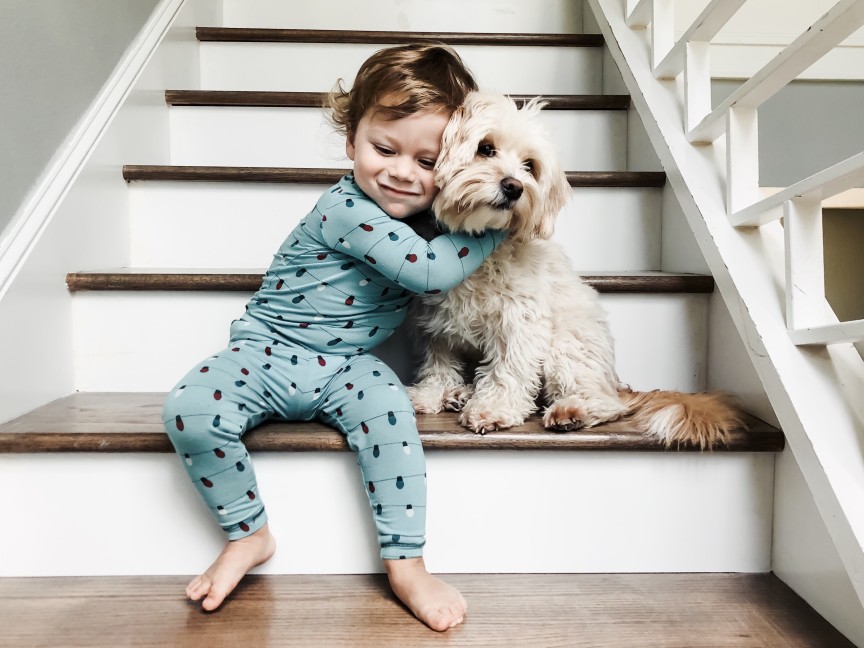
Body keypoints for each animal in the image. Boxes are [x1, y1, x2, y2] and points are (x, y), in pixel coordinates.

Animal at [410, 90, 744, 450]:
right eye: (485, 148)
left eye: (530, 166)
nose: (514, 187)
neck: (476, 249)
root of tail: (615, 383)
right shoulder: (438, 326)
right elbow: (439, 365)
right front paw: (431, 393)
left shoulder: (520, 320)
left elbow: (508, 368)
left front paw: (493, 408)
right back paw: (460, 393)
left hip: (567, 345)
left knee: (603, 402)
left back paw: (572, 410)